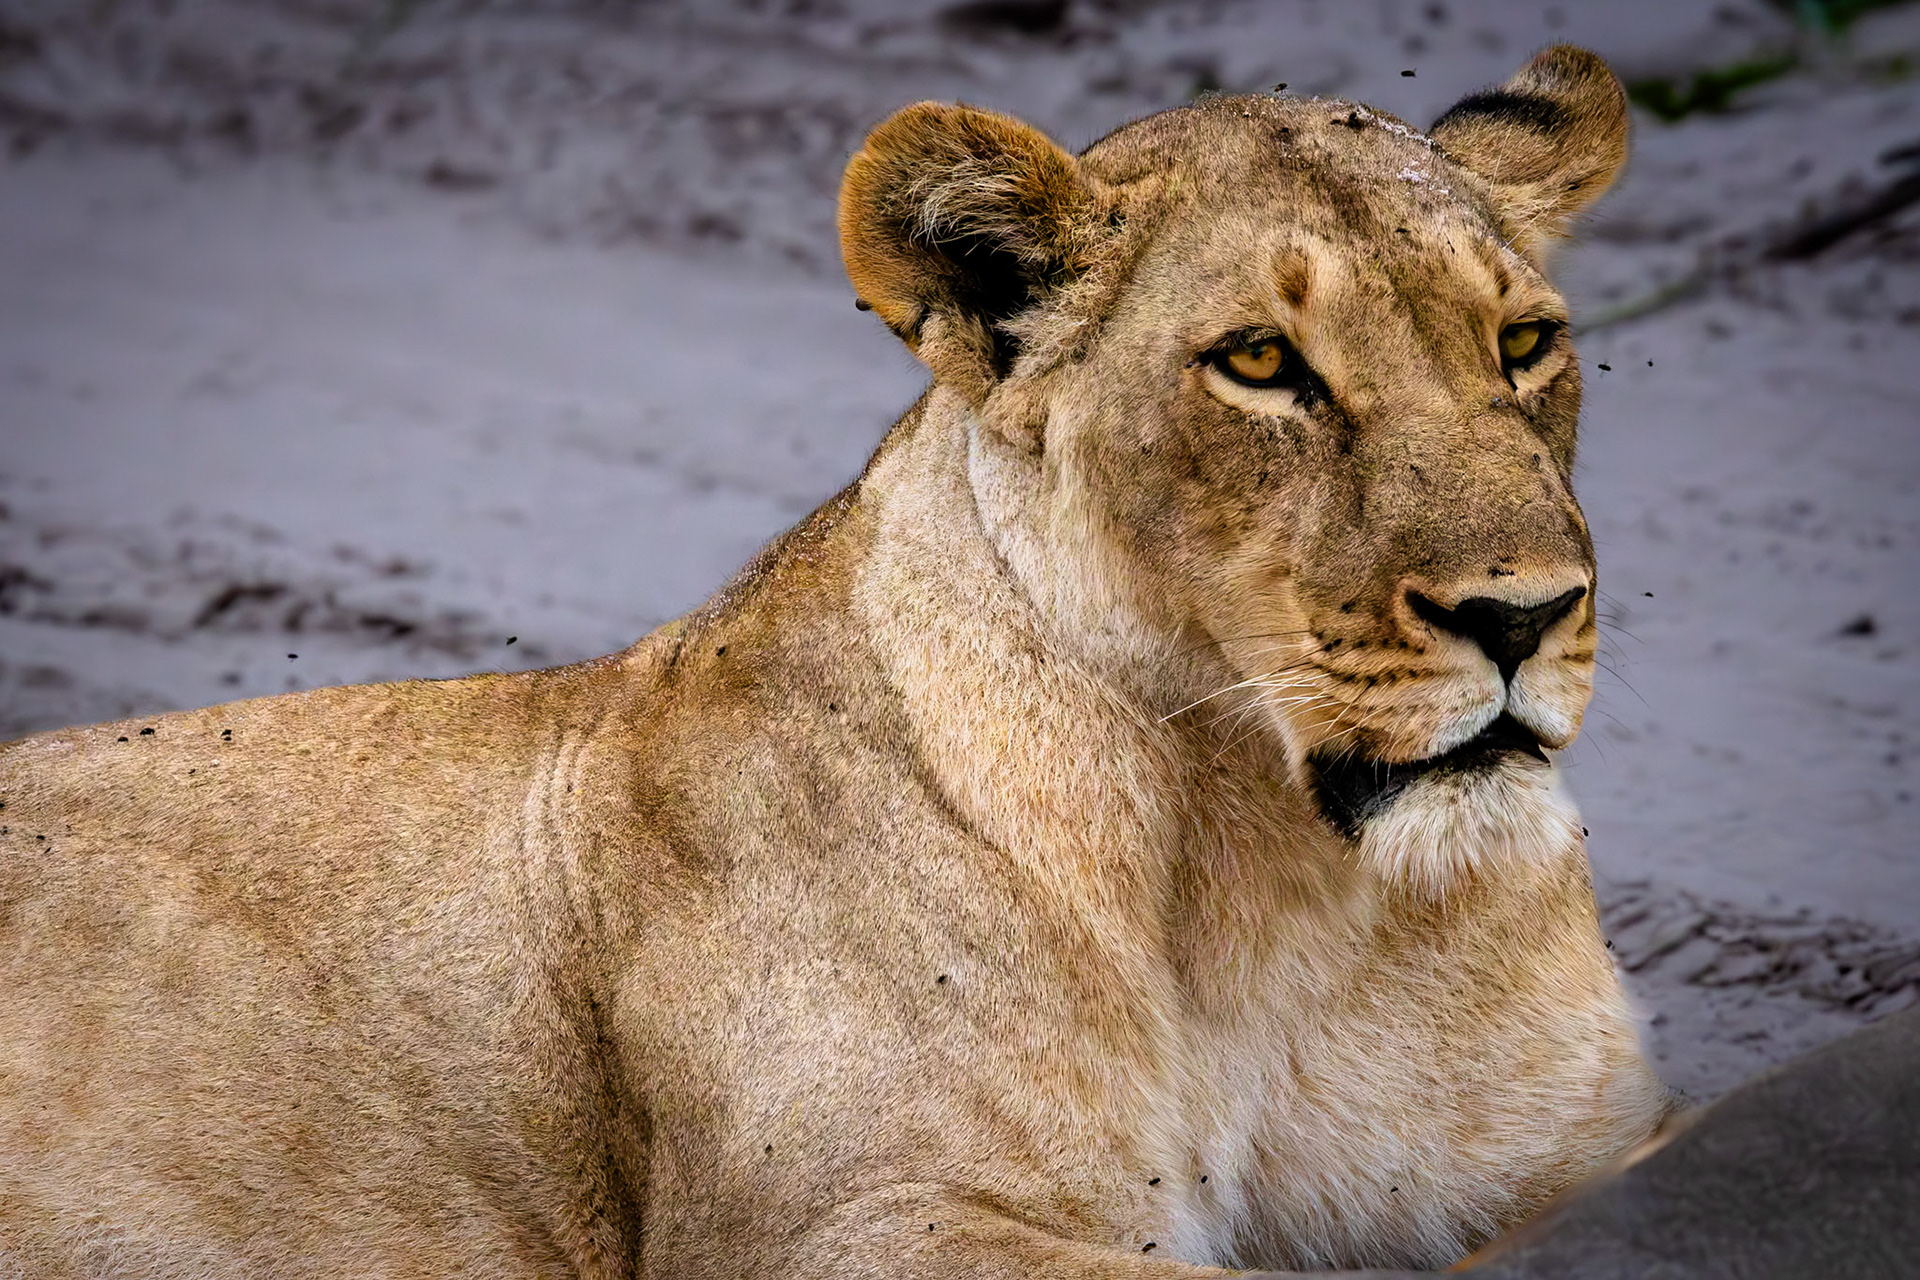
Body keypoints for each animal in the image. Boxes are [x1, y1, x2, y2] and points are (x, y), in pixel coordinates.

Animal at [0, 45, 1672, 1277]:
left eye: (1524, 342)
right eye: (1260, 363)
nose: (1524, 614)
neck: (1279, 887)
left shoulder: (1590, 1150)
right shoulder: (840, 1225)